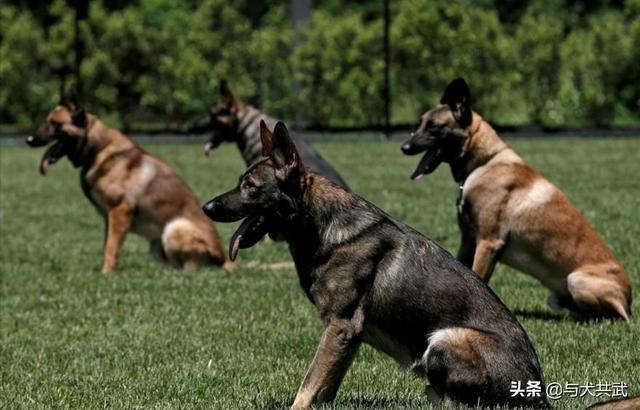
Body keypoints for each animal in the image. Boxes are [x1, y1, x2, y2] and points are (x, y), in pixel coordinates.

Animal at [25, 93, 230, 272]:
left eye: (55, 124)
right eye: (48, 121)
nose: (28, 139)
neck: (98, 149)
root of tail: (225, 259)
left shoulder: (120, 210)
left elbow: (111, 246)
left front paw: (106, 273)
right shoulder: (109, 216)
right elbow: (108, 245)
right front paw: (113, 269)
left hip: (174, 228)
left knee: (192, 268)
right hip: (157, 245)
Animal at [402, 77, 632, 320]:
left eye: (434, 127)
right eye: (419, 123)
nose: (404, 147)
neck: (485, 161)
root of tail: (629, 301)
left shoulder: (488, 242)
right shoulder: (468, 240)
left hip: (576, 279)